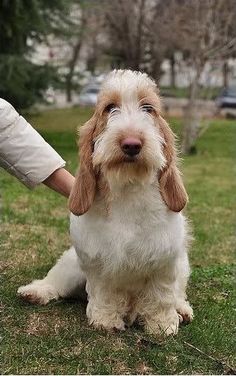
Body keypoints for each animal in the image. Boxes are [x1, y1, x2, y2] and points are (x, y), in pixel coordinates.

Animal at [18, 69, 194, 336]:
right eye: (110, 107)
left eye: (148, 108)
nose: (131, 144)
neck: (128, 189)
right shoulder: (97, 260)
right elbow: (105, 292)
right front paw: (105, 320)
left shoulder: (164, 261)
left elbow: (161, 296)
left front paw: (162, 326)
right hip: (71, 265)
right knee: (55, 282)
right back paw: (35, 291)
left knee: (177, 295)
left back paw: (182, 310)